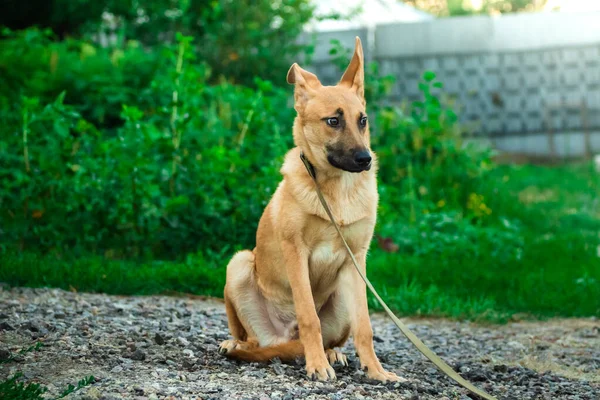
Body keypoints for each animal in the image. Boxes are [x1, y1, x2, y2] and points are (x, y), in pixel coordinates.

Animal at [218, 36, 400, 382]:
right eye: (333, 121)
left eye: (363, 120)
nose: (365, 160)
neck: (336, 191)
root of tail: (283, 339)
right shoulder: (296, 251)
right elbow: (308, 316)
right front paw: (316, 366)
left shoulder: (357, 261)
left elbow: (365, 327)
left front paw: (376, 370)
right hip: (239, 263)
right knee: (252, 339)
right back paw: (238, 345)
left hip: (342, 295)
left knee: (332, 337)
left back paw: (332, 352)